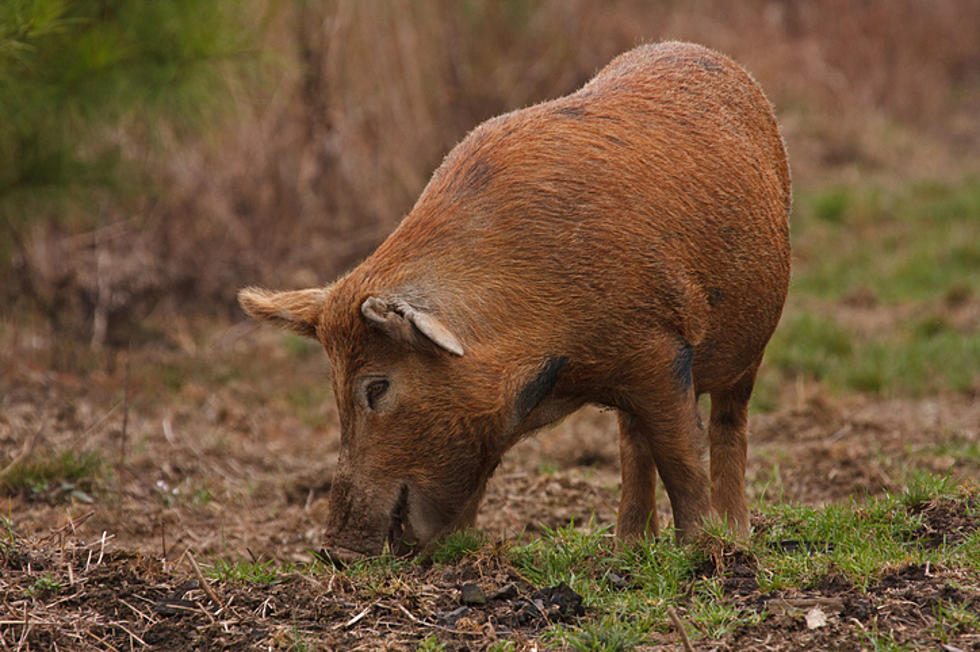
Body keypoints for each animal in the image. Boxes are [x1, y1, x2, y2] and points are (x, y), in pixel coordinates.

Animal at [237, 42, 788, 560]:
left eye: (376, 386)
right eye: (333, 389)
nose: (334, 551)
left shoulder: (661, 347)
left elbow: (681, 454)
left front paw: (700, 548)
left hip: (751, 348)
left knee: (727, 426)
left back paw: (733, 537)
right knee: (633, 443)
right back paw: (628, 547)